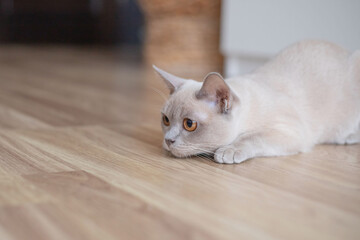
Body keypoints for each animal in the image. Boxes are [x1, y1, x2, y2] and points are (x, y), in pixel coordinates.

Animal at [155, 40, 360, 164]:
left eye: (189, 124)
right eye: (166, 120)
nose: (168, 140)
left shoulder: (291, 131)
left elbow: (252, 137)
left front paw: (228, 151)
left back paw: (347, 137)